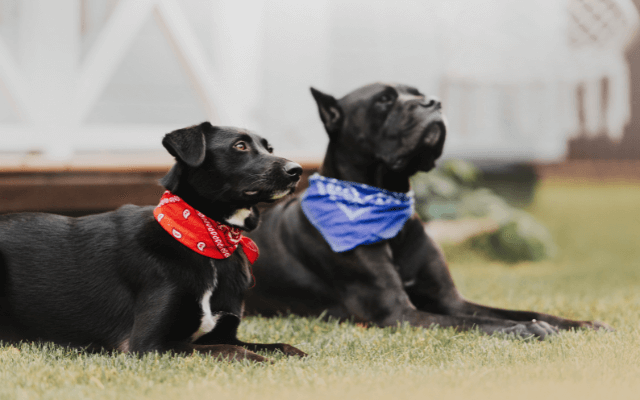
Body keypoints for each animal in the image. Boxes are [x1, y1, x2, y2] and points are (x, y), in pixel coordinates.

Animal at [0, 122, 308, 362]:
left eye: (269, 148)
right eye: (240, 146)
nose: (297, 170)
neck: (204, 239)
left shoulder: (223, 332)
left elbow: (277, 345)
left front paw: (296, 354)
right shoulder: (149, 345)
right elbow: (230, 351)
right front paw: (263, 361)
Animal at [244, 82, 608, 338]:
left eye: (417, 92)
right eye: (384, 100)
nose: (433, 102)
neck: (388, 207)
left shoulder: (449, 299)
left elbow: (510, 310)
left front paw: (578, 323)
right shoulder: (399, 313)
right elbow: (475, 322)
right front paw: (525, 329)